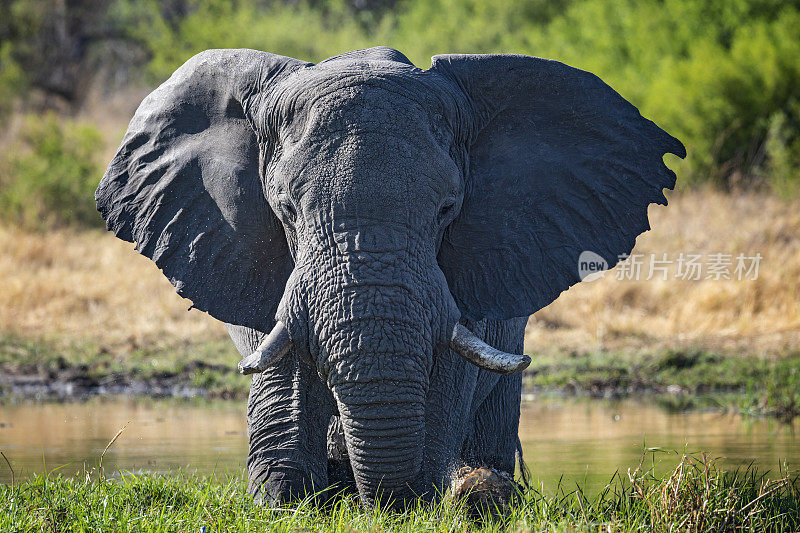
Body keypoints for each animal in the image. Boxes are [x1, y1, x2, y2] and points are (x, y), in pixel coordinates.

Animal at [92, 45, 680, 508]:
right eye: (285, 209)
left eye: (448, 209)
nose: (378, 500)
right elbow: (282, 372)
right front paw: (286, 497)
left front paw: (439, 493)